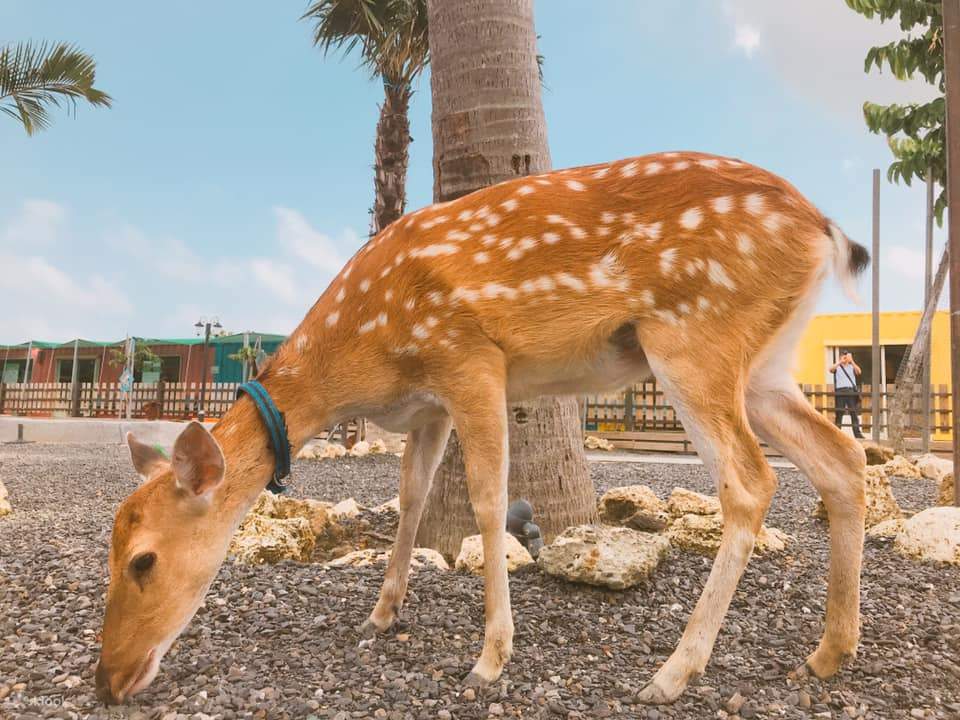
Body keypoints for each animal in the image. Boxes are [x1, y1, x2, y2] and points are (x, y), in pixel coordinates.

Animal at [95, 151, 868, 706]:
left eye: (144, 561)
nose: (108, 680)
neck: (366, 353)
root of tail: (825, 230)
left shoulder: (469, 359)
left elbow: (489, 500)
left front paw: (491, 658)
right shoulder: (429, 406)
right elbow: (411, 499)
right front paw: (382, 614)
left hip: (694, 334)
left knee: (752, 479)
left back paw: (673, 673)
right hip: (764, 362)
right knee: (842, 459)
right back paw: (827, 654)